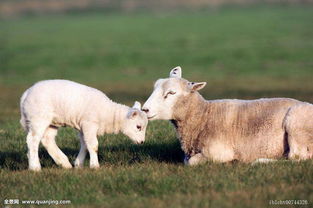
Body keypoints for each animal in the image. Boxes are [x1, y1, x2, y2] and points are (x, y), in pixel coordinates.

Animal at [142, 66, 312, 166]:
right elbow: (186, 160)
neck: (203, 116)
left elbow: (192, 162)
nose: (145, 109)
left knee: (298, 157)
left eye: (171, 93)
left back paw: (259, 161)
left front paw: (233, 160)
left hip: (297, 124)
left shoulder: (218, 152)